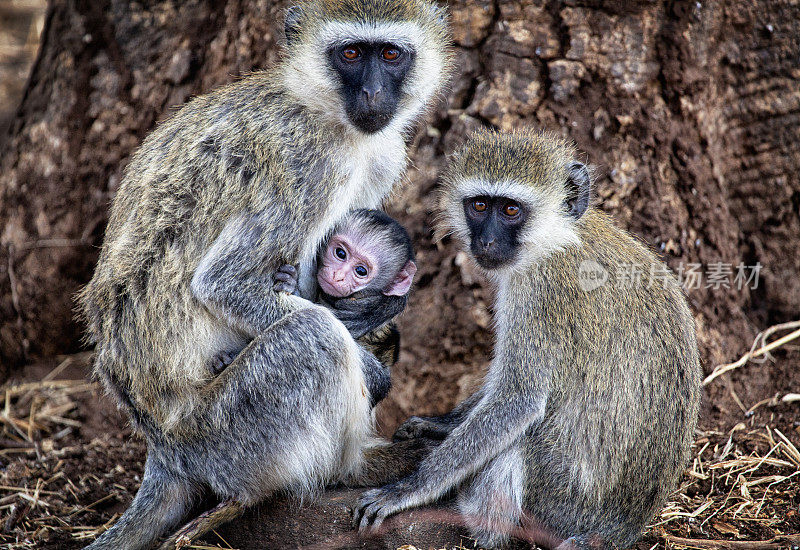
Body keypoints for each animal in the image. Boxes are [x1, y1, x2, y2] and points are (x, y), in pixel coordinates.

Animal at [78, 2, 454, 548]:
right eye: (350, 54)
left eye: (390, 53)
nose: (372, 94)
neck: (321, 109)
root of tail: (164, 449)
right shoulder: (307, 163)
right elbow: (225, 282)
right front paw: (372, 364)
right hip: (228, 431)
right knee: (314, 334)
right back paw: (361, 465)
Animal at [356, 130, 700, 550]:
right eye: (480, 205)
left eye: (510, 210)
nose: (486, 242)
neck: (559, 238)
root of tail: (621, 527)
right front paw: (439, 424)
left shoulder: (539, 293)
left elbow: (518, 400)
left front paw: (409, 488)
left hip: (561, 501)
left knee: (514, 449)